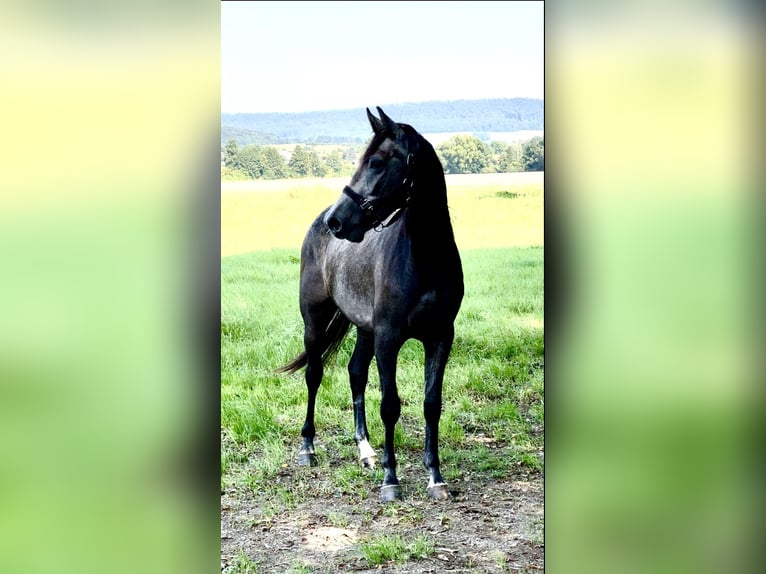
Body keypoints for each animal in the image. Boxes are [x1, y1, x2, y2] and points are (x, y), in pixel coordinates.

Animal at [280, 108, 464, 504]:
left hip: (364, 330)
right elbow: (390, 405)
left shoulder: (440, 337)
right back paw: (308, 448)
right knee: (314, 375)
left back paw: (365, 451)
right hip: (314, 323)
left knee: (355, 373)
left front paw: (436, 478)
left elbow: (431, 404)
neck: (425, 258)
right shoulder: (389, 338)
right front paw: (391, 480)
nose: (337, 220)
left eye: (377, 162)